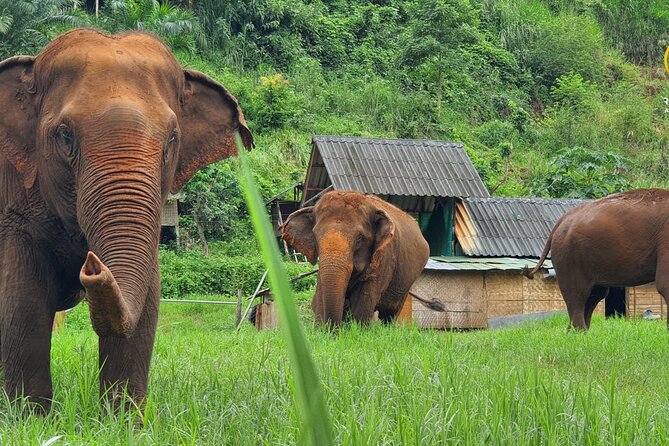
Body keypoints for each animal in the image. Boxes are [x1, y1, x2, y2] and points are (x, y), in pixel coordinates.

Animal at [0, 28, 253, 410]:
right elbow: (22, 301)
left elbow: (147, 300)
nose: (92, 265)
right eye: (64, 135)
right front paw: (31, 417)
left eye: (172, 139)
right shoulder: (13, 204)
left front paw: (122, 419)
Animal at [281, 191, 430, 326]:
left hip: (406, 281)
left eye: (359, 238)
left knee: (389, 313)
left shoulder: (383, 257)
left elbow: (362, 303)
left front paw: (358, 330)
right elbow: (321, 291)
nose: (334, 330)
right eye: (315, 236)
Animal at [526, 188, 669, 330]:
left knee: (594, 296)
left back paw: (577, 332)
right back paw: (579, 331)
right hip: (569, 255)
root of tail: (561, 221)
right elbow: (664, 285)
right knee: (578, 295)